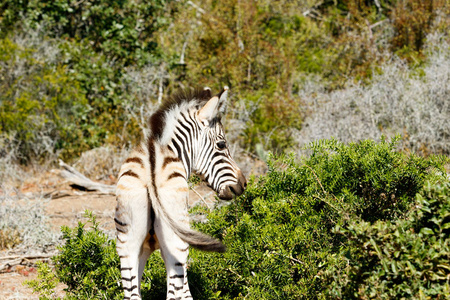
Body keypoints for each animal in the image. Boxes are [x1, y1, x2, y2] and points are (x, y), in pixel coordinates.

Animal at [113, 85, 246, 298]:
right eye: (222, 145)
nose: (242, 184)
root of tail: (151, 167)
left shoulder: (142, 249)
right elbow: (186, 294)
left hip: (127, 239)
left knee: (132, 295)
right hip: (177, 241)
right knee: (174, 294)